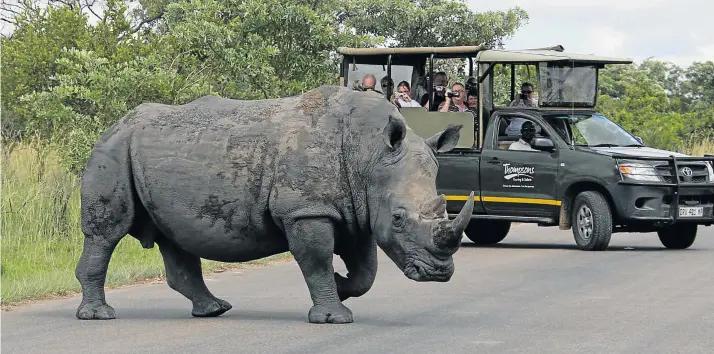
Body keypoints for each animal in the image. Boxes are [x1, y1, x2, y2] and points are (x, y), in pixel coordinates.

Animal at [75, 85, 472, 324]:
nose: (439, 273)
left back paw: (213, 310)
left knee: (174, 237)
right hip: (113, 148)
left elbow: (366, 272)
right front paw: (334, 316)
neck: (371, 154)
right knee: (106, 233)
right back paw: (100, 315)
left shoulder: (356, 210)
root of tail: (115, 123)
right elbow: (317, 260)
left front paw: (342, 286)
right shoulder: (306, 209)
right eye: (400, 218)